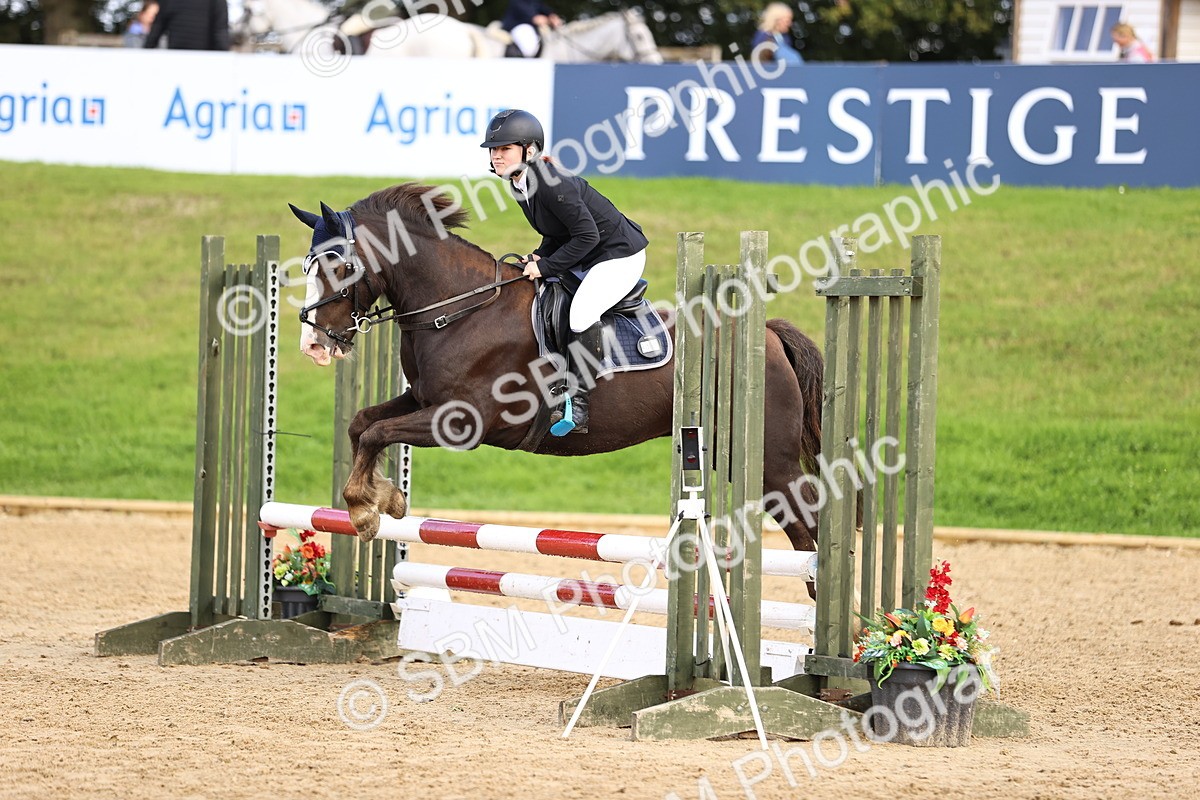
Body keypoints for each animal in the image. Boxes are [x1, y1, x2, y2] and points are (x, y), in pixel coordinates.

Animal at [288, 183, 825, 591]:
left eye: (340, 266)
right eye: (307, 267)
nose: (313, 344)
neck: (459, 309)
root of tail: (768, 332)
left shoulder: (460, 421)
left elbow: (376, 433)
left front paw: (364, 510)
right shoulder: (423, 401)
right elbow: (363, 424)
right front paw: (386, 497)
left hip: (771, 463)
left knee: (813, 522)